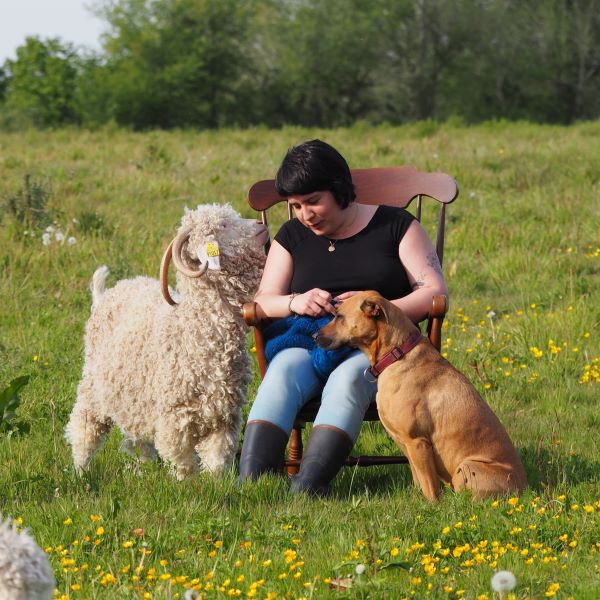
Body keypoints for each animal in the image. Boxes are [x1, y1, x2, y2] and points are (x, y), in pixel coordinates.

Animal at [65, 204, 268, 480]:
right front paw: (188, 485)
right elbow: (183, 464)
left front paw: (213, 484)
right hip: (93, 388)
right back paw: (81, 470)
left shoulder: (224, 416)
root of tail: (104, 295)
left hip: (135, 398)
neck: (193, 330)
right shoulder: (174, 420)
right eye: (223, 226)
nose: (261, 226)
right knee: (85, 427)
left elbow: (217, 461)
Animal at [316, 290, 528, 502]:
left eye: (338, 316)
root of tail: (523, 491)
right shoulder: (407, 445)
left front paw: (432, 505)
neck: (396, 354)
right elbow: (418, 479)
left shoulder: (417, 442)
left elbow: (429, 487)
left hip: (466, 467)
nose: (314, 336)